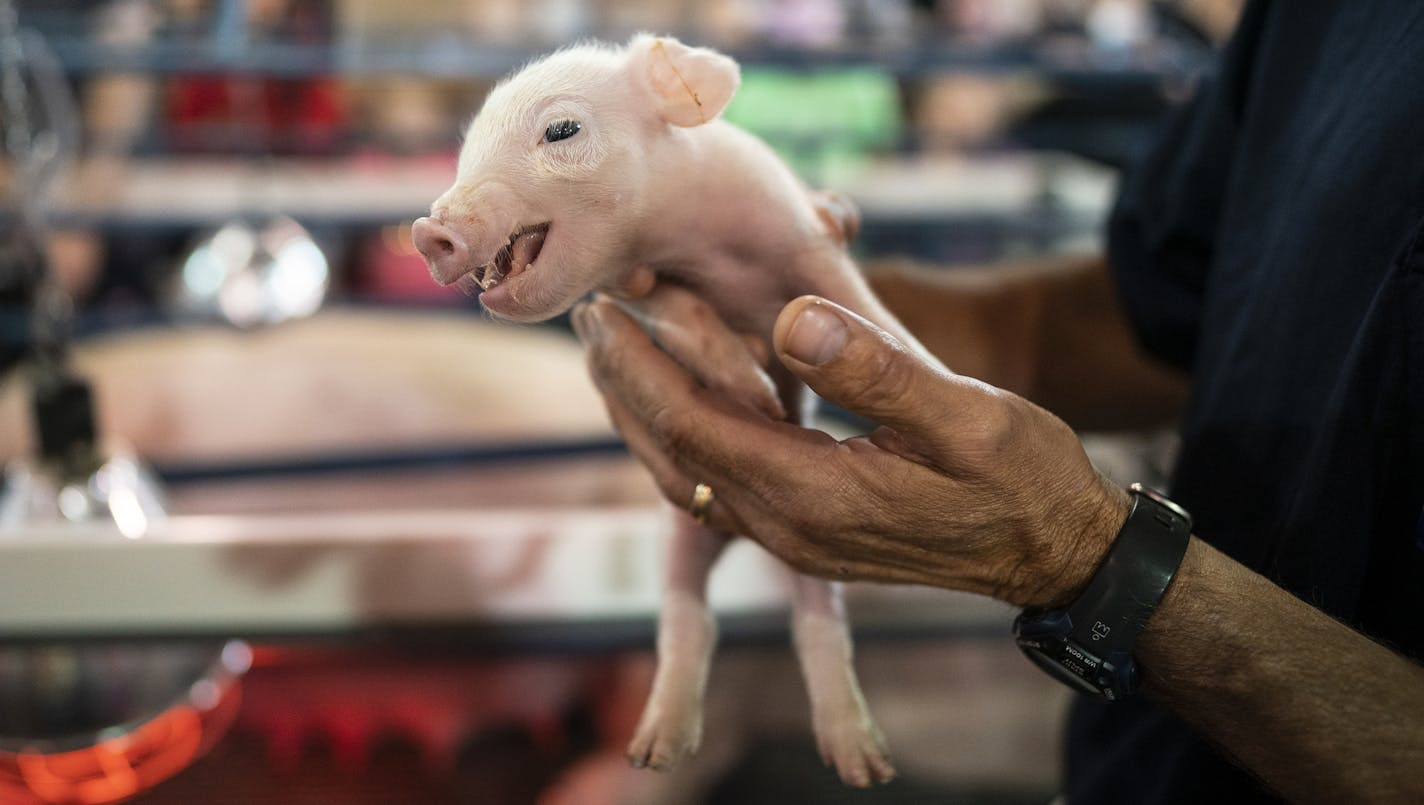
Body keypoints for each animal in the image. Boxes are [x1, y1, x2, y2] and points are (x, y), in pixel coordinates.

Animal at [415, 32, 922, 786]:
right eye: (469, 146)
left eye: (560, 130)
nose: (427, 229)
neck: (692, 242)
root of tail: (742, 539)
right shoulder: (635, 288)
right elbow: (684, 315)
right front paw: (752, 391)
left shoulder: (805, 238)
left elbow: (860, 303)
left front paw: (933, 368)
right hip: (678, 533)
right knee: (690, 620)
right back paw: (654, 751)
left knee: (815, 617)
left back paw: (865, 768)